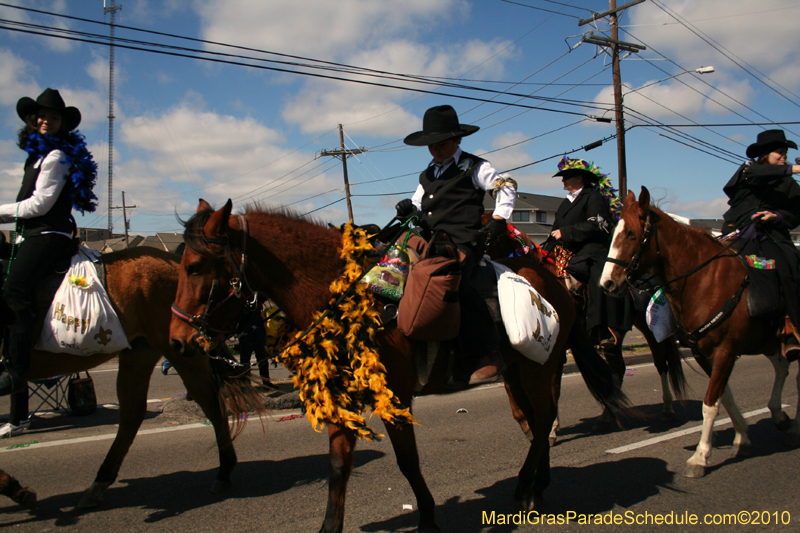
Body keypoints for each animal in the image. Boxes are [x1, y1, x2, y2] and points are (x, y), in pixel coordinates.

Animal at [5, 245, 250, 508]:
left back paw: (224, 471)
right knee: (133, 413)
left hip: (180, 351)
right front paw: (14, 488)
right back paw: (99, 482)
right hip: (142, 352)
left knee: (210, 403)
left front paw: (14, 488)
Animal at [169, 201, 628, 532]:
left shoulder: (396, 397)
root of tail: (553, 280)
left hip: (539, 368)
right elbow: (338, 469)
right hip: (520, 371)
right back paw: (537, 484)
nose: (177, 340)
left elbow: (408, 463)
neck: (349, 297)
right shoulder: (342, 402)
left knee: (544, 417)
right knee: (534, 420)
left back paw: (525, 488)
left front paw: (427, 519)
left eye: (195, 267)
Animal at [484, 210, 692, 430]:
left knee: (661, 363)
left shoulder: (559, 347)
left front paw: (552, 426)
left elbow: (553, 386)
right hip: (613, 338)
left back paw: (667, 409)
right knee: (619, 368)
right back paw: (605, 417)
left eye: (484, 233)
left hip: (650, 329)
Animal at [600, 186, 800, 474]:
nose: (606, 283)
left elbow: (710, 404)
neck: (706, 281)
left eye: (631, 234)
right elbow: (723, 397)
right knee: (782, 367)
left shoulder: (726, 351)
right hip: (767, 339)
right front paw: (742, 437)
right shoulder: (704, 352)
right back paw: (778, 413)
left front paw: (700, 456)